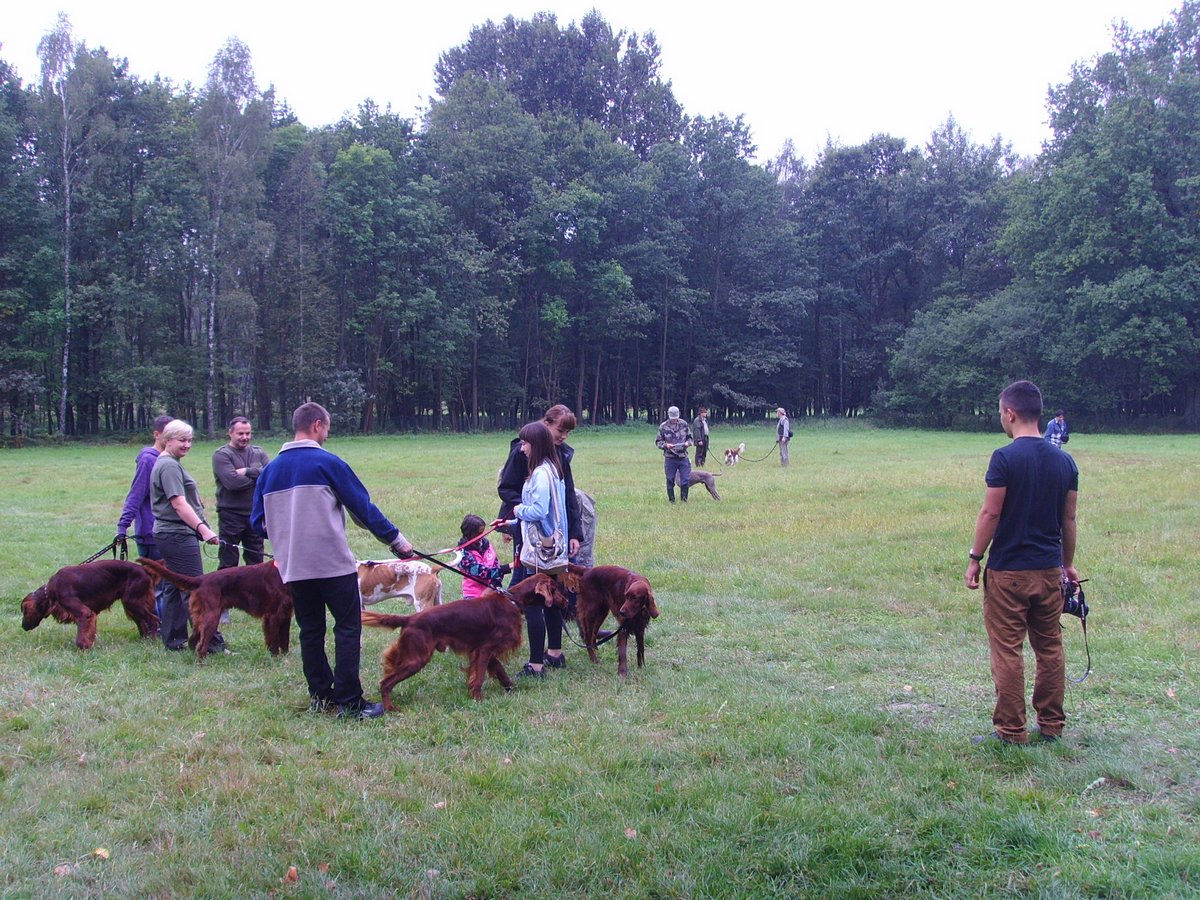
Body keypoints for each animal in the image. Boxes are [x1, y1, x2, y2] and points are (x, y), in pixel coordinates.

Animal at [21, 559, 160, 649]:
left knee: (153, 619)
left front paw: (83, 648)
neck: (50, 590)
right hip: (131, 605)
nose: (23, 627)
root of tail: (144, 569)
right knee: (143, 622)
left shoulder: (85, 613)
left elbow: (81, 635)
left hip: (133, 602)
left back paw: (151, 642)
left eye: (24, 611)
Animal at [137, 558, 293, 662]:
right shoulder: (273, 615)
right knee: (201, 646)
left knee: (192, 641)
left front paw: (285, 658)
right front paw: (276, 659)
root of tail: (201, 580)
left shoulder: (285, 614)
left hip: (200, 618)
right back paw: (202, 665)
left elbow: (284, 640)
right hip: (211, 617)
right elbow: (275, 640)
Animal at [361, 573, 568, 706]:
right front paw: (477, 698)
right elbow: (480, 675)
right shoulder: (485, 648)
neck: (512, 600)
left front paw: (510, 687)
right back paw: (390, 708)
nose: (566, 601)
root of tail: (409, 619)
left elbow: (499, 671)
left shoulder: (483, 650)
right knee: (385, 683)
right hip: (416, 660)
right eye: (555, 589)